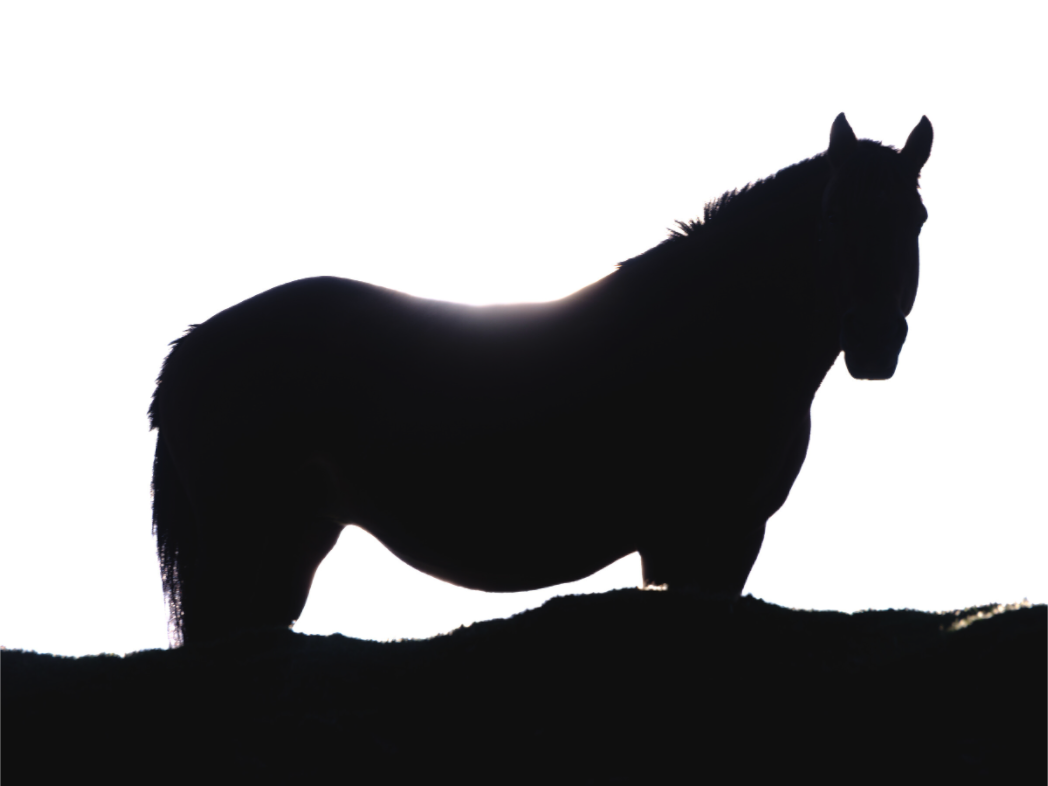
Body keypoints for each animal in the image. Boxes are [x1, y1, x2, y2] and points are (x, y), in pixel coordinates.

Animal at [150, 113, 933, 647]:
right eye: (833, 215)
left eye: (917, 218)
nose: (874, 340)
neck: (713, 336)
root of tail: (190, 349)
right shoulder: (699, 538)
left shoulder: (728, 541)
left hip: (292, 543)